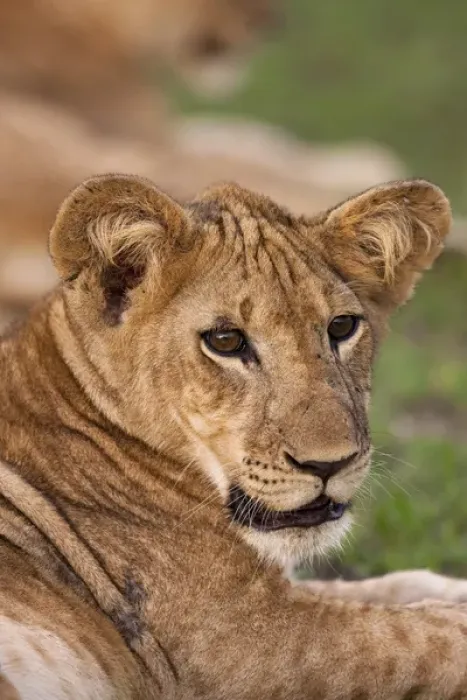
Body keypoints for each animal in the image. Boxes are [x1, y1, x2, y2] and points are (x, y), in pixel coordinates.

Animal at [1, 173, 467, 698]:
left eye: (342, 327)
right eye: (225, 341)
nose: (329, 464)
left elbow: (382, 589)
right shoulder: (239, 643)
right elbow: (424, 636)